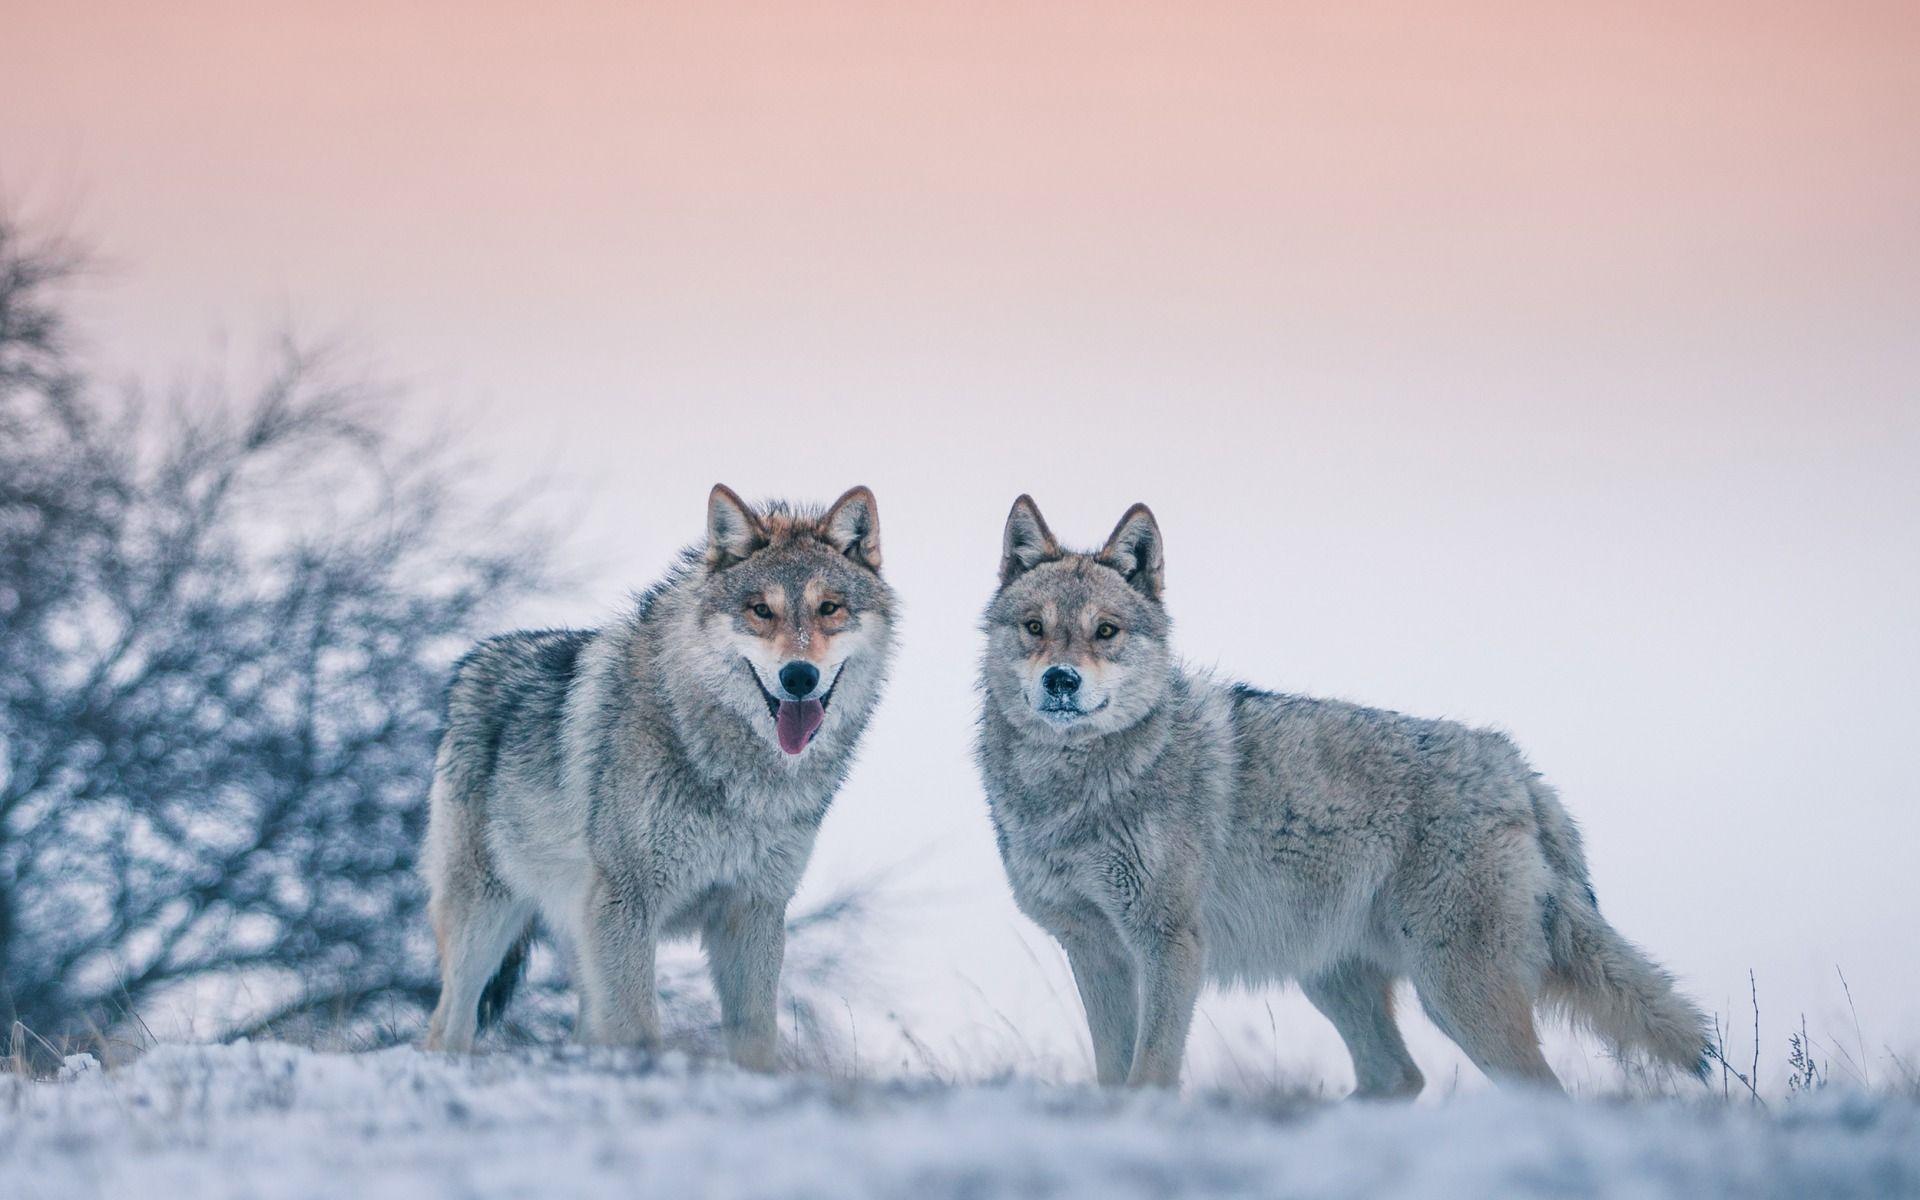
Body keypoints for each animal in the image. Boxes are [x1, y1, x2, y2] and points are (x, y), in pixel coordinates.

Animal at [422, 484, 894, 1067]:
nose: (799, 676)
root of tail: (473, 661)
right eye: (761, 610)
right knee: (448, 1025)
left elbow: (755, 1034)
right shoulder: (628, 903)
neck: (737, 773)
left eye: (829, 608)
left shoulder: (754, 910)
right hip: (486, 920)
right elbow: (640, 1031)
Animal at [975, 495, 1709, 1094]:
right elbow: (1111, 1073)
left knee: (1533, 1089)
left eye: (1106, 631)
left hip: (1456, 994)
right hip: (1336, 980)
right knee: (1399, 1076)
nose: (1062, 680)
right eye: (1035, 627)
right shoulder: (1093, 950)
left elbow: (1149, 1072)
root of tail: (1520, 771)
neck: (1070, 790)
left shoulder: (1168, 945)